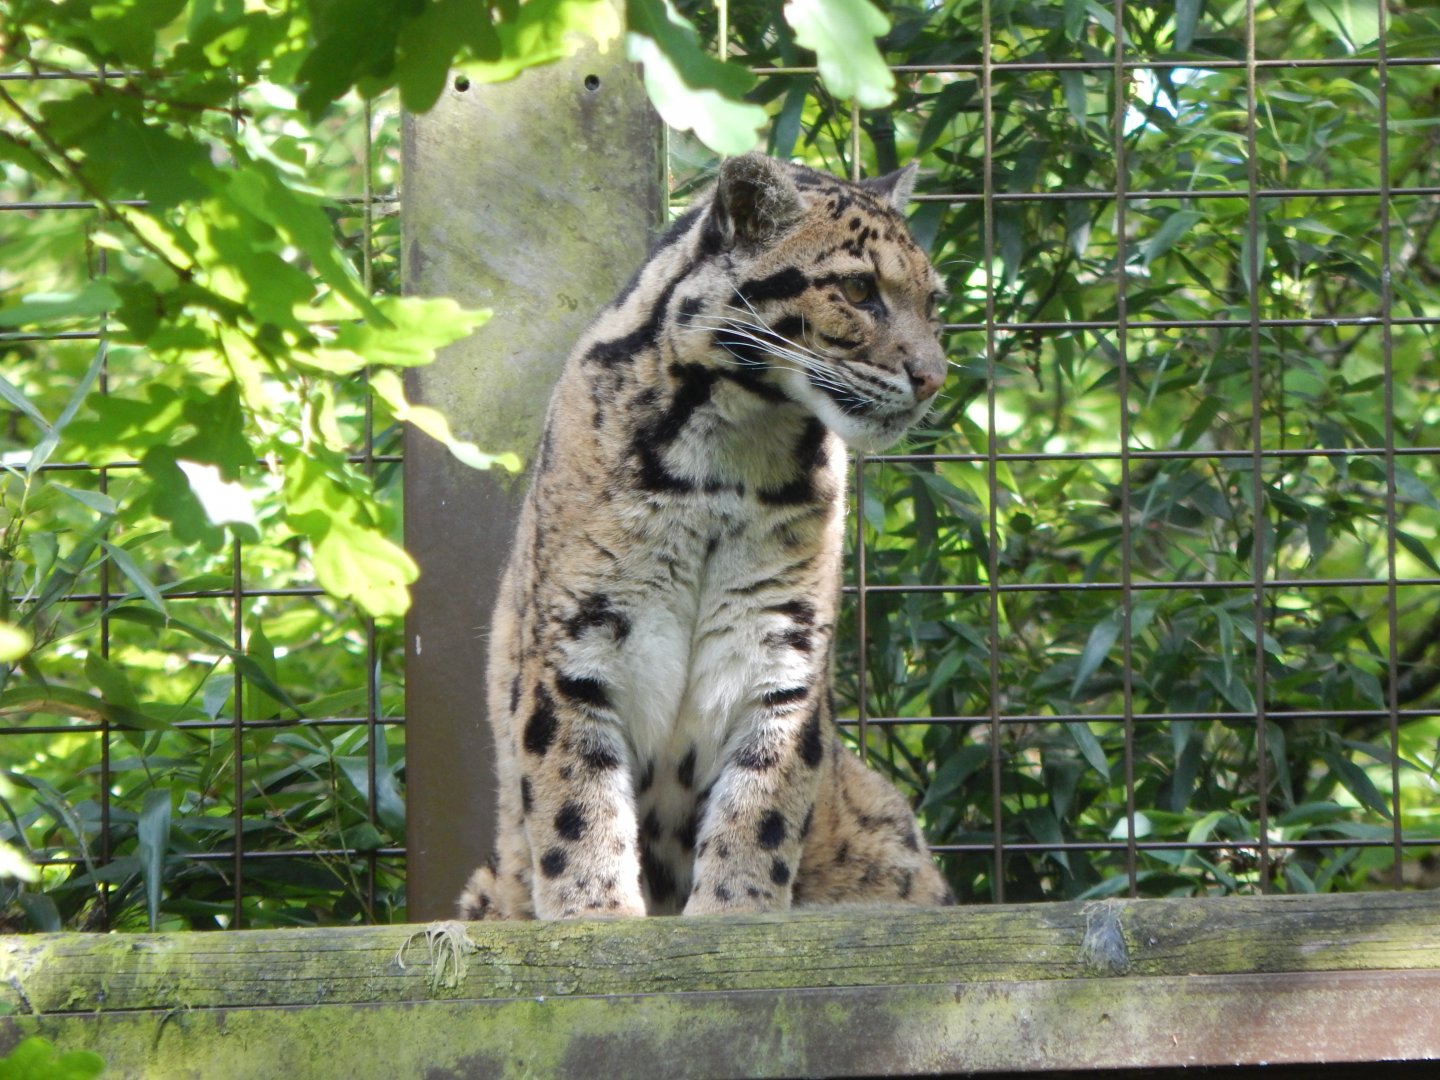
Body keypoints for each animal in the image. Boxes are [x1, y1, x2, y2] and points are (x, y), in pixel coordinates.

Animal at [458, 152, 955, 920]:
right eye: (857, 289)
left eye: (933, 304)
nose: (933, 378)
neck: (730, 450)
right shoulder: (575, 640)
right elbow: (575, 798)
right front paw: (594, 915)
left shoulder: (780, 646)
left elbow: (763, 801)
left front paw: (736, 913)